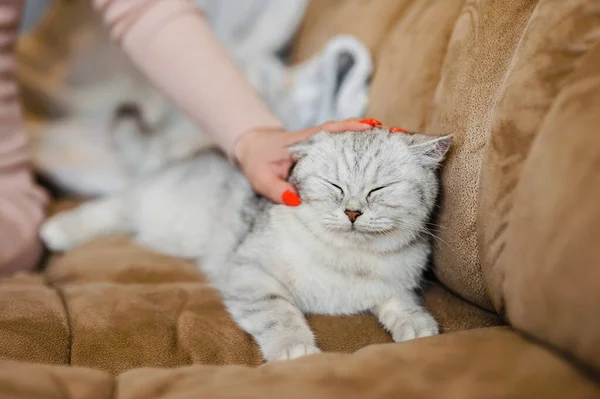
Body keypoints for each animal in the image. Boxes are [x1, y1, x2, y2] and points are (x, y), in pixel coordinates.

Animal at [41, 111, 450, 364]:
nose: (353, 212)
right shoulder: (249, 273)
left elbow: (401, 302)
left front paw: (418, 327)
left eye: (381, 188)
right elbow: (279, 314)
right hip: (147, 203)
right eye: (333, 185)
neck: (348, 260)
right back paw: (57, 231)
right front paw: (296, 349)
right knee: (110, 208)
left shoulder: (395, 283)